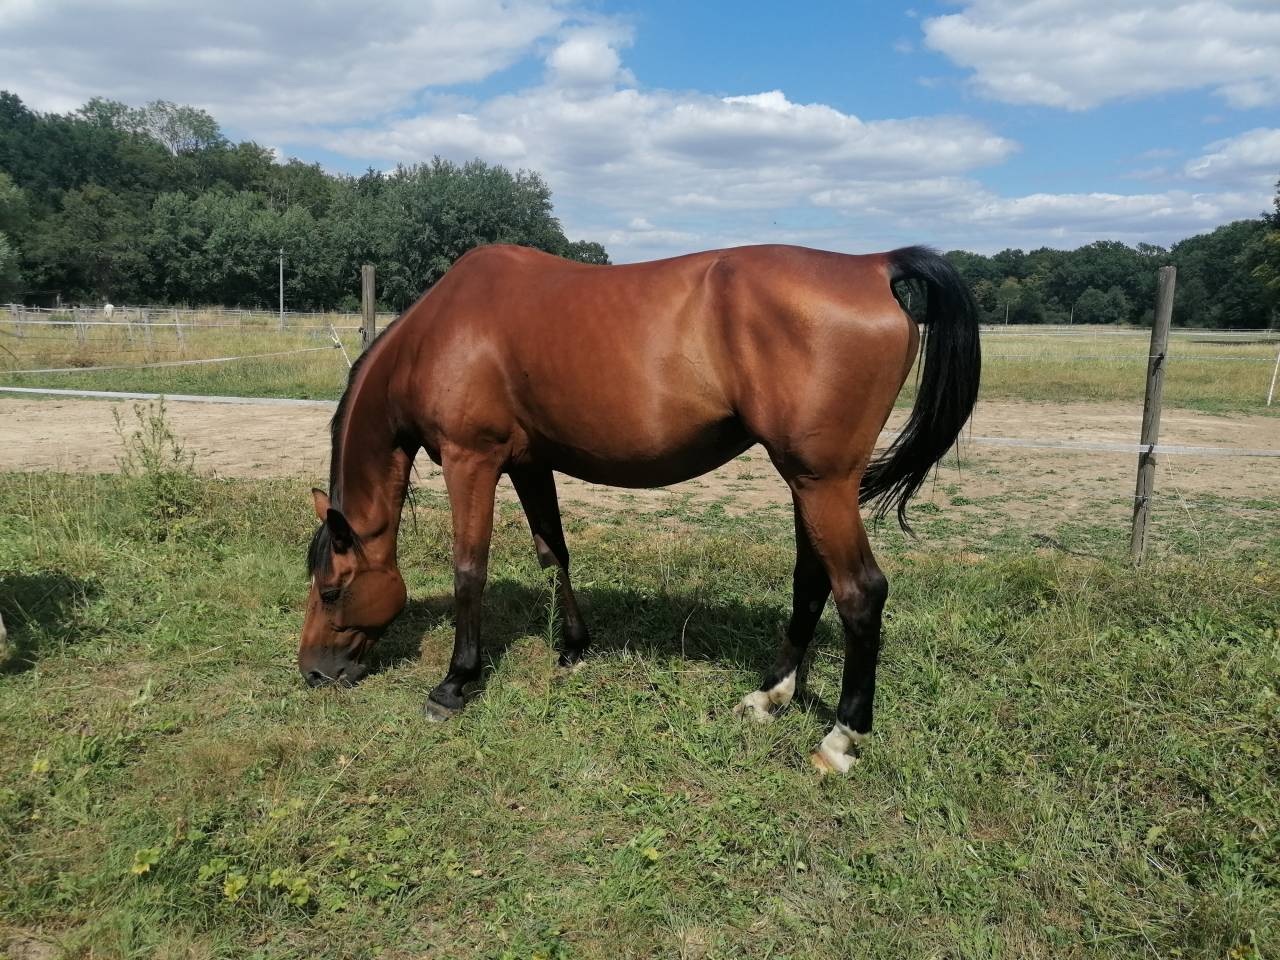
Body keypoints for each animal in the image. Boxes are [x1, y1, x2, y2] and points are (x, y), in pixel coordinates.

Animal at [300, 243, 979, 773]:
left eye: (331, 591)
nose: (312, 672)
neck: (440, 331)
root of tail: (873, 265)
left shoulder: (473, 461)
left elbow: (470, 569)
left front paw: (455, 681)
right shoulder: (529, 462)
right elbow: (553, 551)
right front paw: (574, 646)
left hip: (823, 484)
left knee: (860, 592)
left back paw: (840, 739)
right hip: (808, 486)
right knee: (812, 582)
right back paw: (768, 696)